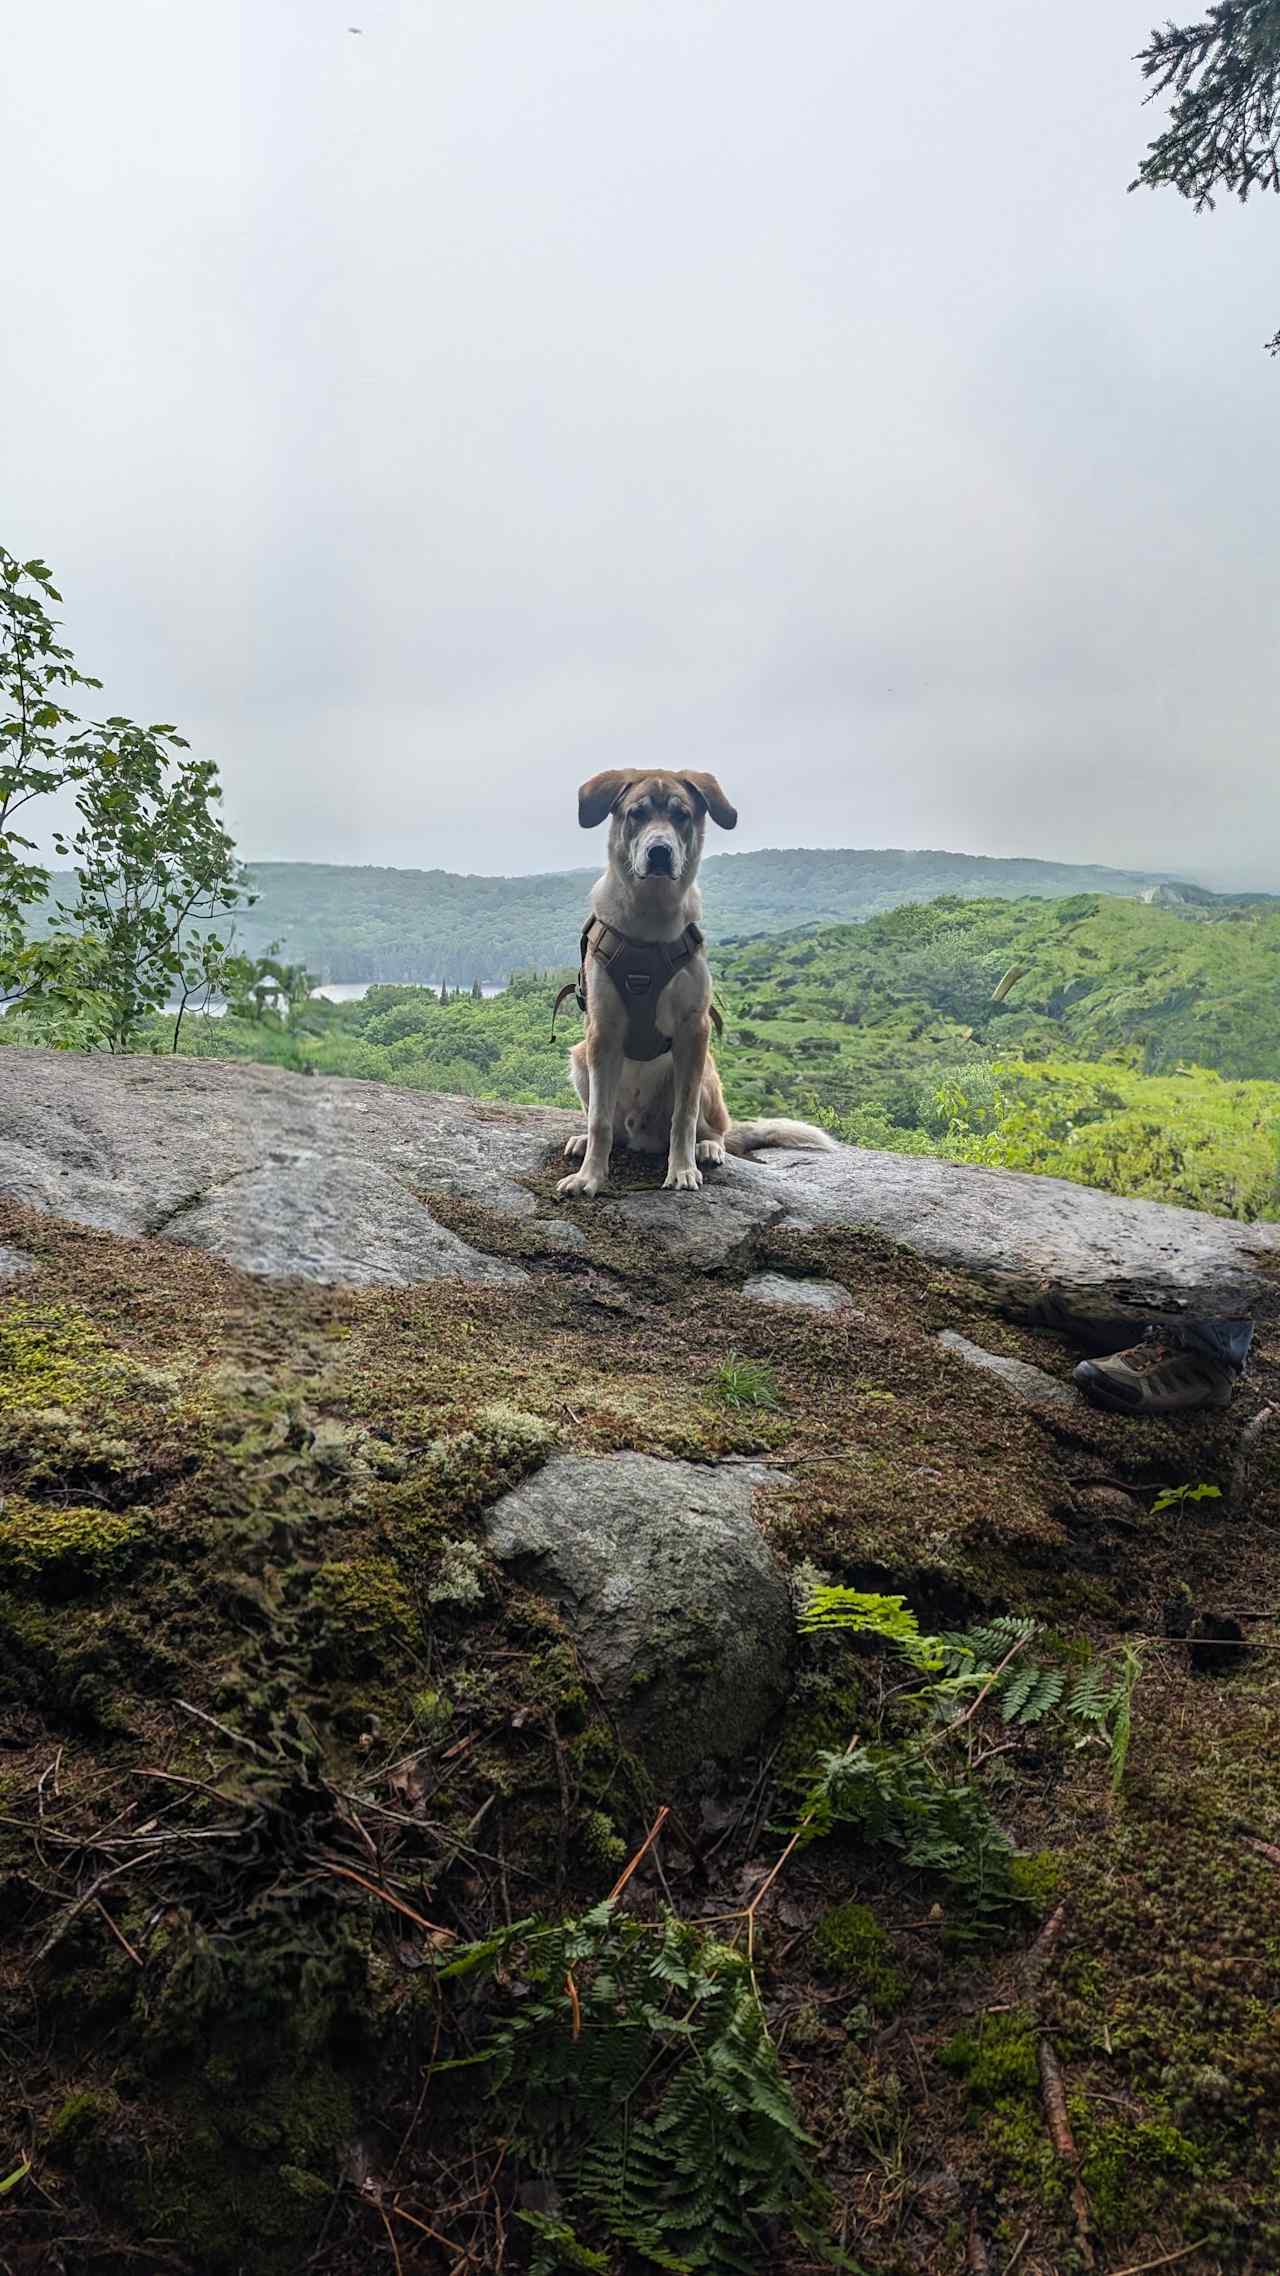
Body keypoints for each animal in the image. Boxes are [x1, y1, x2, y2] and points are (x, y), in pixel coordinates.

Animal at [553, 769, 833, 1201]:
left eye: (682, 816)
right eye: (636, 814)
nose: (659, 852)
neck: (649, 921)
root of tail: (641, 1135)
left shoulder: (692, 1030)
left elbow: (683, 1117)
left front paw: (682, 1170)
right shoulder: (602, 1032)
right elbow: (599, 1120)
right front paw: (590, 1177)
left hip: (705, 1075)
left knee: (712, 1128)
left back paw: (707, 1148)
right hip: (581, 1058)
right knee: (611, 1127)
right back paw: (588, 1141)